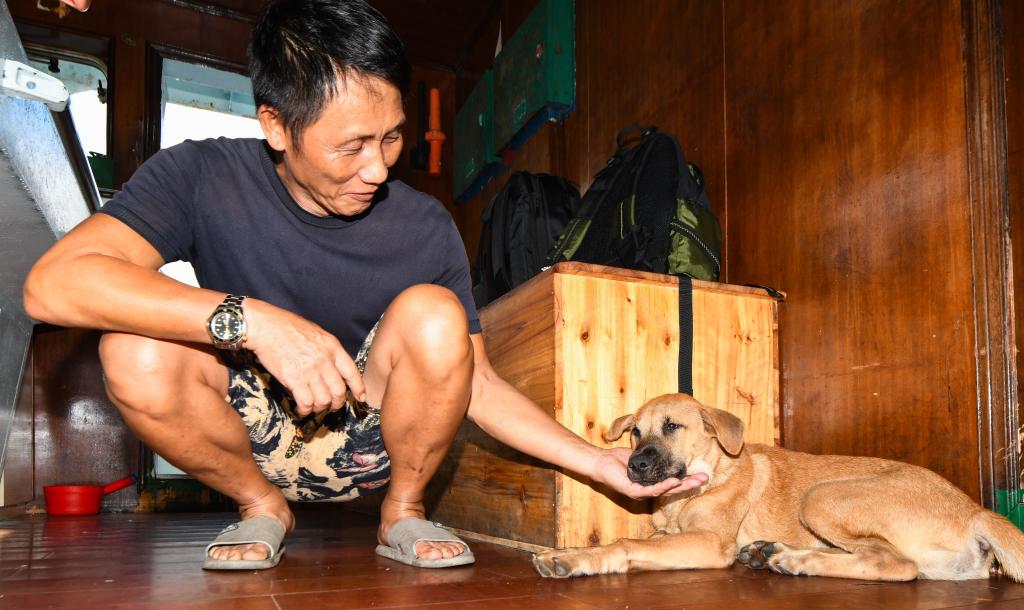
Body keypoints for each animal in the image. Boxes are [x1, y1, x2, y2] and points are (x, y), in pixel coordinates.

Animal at [533, 393, 1024, 581]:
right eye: (635, 431)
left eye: (672, 426)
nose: (635, 465)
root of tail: (975, 511)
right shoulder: (668, 533)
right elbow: (637, 539)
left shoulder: (710, 544)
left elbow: (624, 543)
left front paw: (574, 559)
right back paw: (773, 552)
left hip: (821, 496)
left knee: (896, 566)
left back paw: (795, 561)